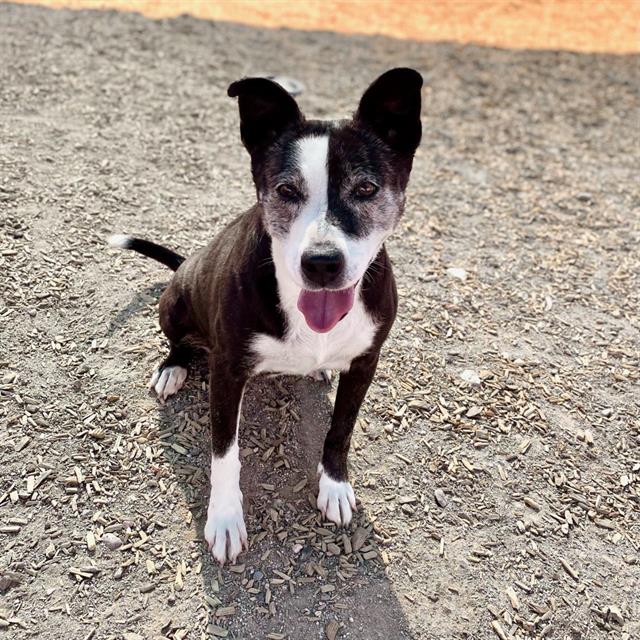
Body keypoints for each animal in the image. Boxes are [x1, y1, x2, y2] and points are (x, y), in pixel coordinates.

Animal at [108, 67, 422, 564]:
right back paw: (173, 368)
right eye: (286, 190)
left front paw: (334, 486)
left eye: (367, 189)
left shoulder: (365, 362)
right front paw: (224, 519)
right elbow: (224, 452)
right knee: (178, 342)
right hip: (175, 304)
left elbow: (341, 428)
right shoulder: (227, 371)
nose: (321, 263)